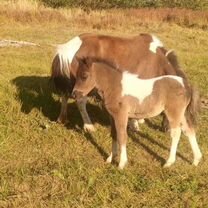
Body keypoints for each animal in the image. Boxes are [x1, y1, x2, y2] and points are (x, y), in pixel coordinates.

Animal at [51, 32, 186, 132]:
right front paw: (135, 124)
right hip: (83, 86)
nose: (168, 130)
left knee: (64, 95)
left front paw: (139, 120)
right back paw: (89, 127)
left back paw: (62, 118)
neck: (157, 60)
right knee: (80, 102)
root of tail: (68, 48)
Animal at [72, 58, 202, 169]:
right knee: (189, 131)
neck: (114, 87)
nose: (74, 94)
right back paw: (196, 160)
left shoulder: (121, 116)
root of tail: (187, 85)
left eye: (84, 76)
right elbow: (114, 134)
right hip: (182, 114)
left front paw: (121, 164)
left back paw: (169, 162)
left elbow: (122, 136)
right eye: (76, 75)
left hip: (173, 112)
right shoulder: (112, 116)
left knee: (176, 134)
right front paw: (110, 158)